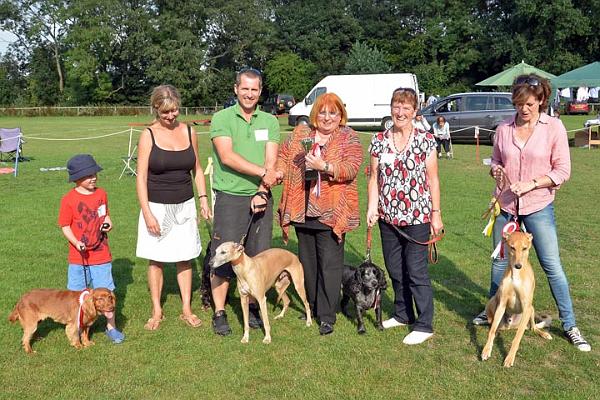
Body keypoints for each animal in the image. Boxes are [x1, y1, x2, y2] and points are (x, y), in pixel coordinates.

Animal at [480, 230, 552, 368]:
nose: (518, 265)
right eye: (512, 247)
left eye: (524, 248)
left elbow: (517, 337)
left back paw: (544, 334)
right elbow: (491, 332)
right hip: (492, 302)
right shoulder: (502, 303)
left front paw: (509, 358)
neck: (516, 275)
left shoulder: (526, 306)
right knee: (494, 326)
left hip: (531, 309)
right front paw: (486, 350)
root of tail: (511, 325)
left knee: (533, 327)